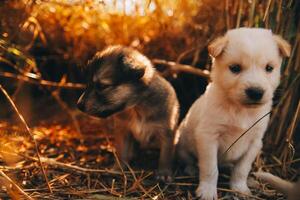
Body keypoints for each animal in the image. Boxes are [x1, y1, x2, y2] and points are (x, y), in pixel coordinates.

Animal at [77, 45, 179, 180]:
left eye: (102, 86)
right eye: (88, 84)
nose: (78, 105)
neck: (135, 108)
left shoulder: (166, 132)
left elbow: (165, 155)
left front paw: (164, 173)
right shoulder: (123, 130)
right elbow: (122, 153)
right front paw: (118, 168)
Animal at [176, 27, 290, 198]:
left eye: (269, 68)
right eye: (235, 68)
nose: (256, 92)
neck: (240, 109)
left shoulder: (255, 142)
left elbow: (242, 169)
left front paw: (240, 188)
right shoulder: (208, 137)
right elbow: (210, 169)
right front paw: (207, 191)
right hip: (183, 143)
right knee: (188, 160)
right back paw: (192, 169)